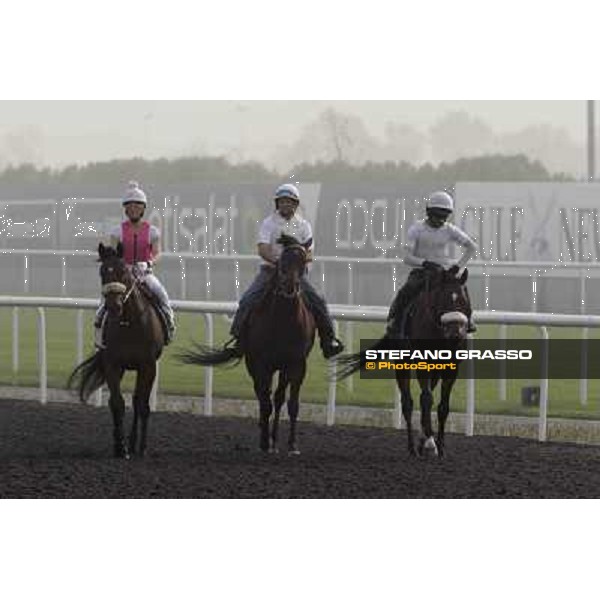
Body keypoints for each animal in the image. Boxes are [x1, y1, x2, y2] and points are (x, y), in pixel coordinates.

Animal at [67, 241, 164, 458]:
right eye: (103, 272)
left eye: (123, 272)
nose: (113, 306)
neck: (129, 322)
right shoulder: (112, 363)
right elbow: (117, 403)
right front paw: (121, 446)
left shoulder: (148, 365)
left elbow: (142, 405)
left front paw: (142, 447)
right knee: (117, 402)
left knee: (137, 400)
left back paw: (135, 442)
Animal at [176, 236, 316, 454]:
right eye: (283, 261)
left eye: (303, 261)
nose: (290, 286)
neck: (284, 321)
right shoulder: (260, 364)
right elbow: (265, 402)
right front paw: (264, 442)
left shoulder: (297, 364)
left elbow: (292, 403)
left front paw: (292, 444)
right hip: (255, 364)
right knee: (263, 396)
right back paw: (266, 435)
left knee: (278, 397)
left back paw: (274, 438)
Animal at [336, 264, 472, 458]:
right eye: (444, 299)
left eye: (463, 300)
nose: (455, 334)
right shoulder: (422, 364)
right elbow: (426, 399)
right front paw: (429, 442)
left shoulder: (451, 368)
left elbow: (443, 406)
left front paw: (440, 446)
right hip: (402, 364)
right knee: (408, 402)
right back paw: (413, 447)